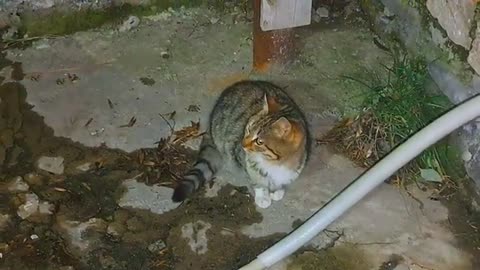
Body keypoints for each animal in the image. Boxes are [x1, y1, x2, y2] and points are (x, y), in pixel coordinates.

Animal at [172, 80, 312, 209]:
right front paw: (263, 196)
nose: (242, 144)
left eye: (259, 141)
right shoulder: (243, 160)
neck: (274, 163)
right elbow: (257, 181)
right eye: (248, 129)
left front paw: (277, 191)